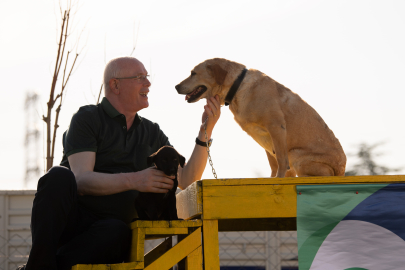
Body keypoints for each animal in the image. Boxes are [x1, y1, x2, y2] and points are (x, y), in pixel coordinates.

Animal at [175, 58, 346, 177]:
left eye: (193, 73)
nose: (176, 86)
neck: (237, 87)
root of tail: (342, 170)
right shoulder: (266, 138)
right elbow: (274, 165)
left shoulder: (276, 127)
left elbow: (281, 162)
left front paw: (277, 181)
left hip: (296, 154)